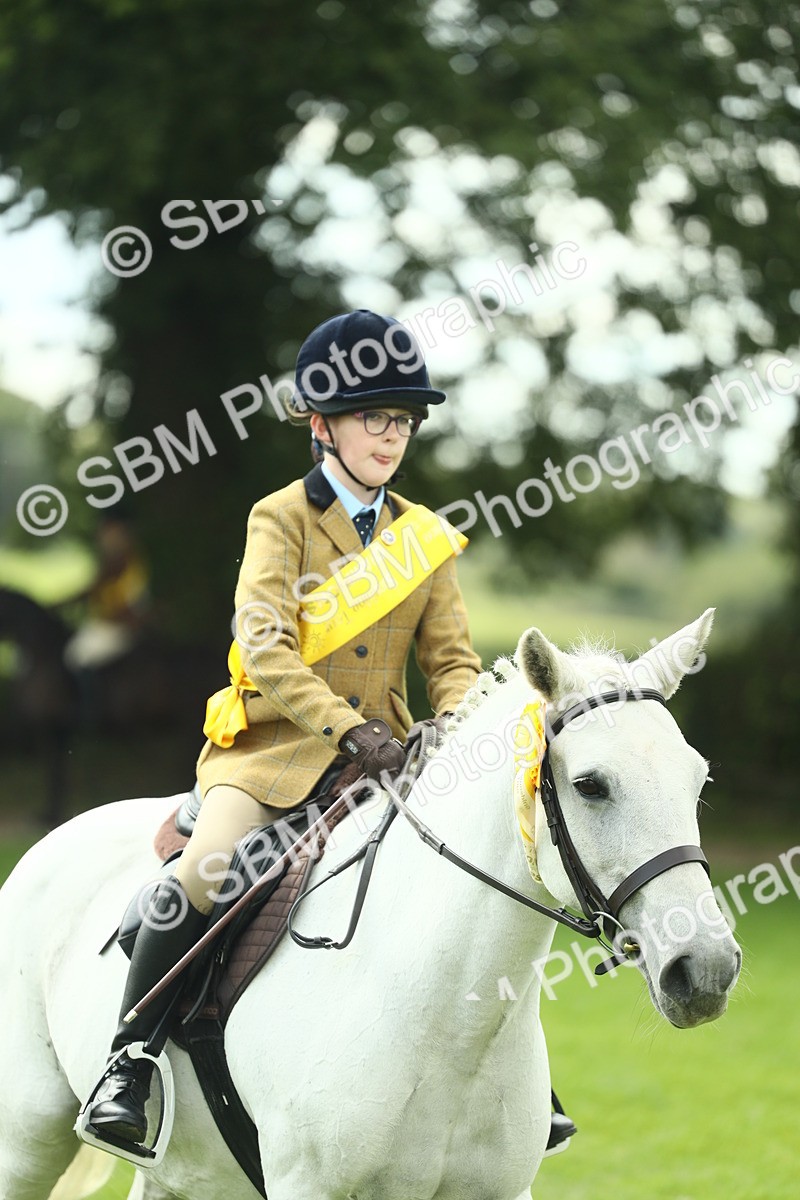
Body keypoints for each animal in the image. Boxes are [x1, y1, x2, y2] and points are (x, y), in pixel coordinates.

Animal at [0, 610, 741, 1200]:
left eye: (699, 778)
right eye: (591, 785)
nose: (705, 967)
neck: (453, 1020)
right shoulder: (307, 1186)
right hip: (27, 1143)